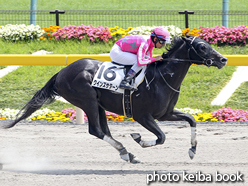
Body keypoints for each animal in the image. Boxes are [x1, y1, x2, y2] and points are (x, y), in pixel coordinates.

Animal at [2, 35, 227, 163]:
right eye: (202, 47)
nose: (223, 59)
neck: (163, 78)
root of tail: (61, 72)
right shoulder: (142, 116)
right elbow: (161, 137)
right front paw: (138, 139)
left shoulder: (166, 113)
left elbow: (191, 120)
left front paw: (192, 150)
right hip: (87, 101)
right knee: (96, 130)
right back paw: (127, 152)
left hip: (99, 104)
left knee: (103, 131)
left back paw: (127, 153)